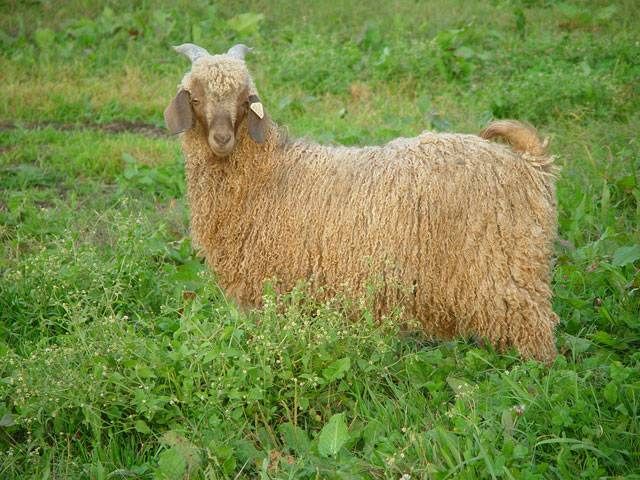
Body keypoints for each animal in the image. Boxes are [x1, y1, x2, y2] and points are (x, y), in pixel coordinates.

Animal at [165, 43, 560, 362]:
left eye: (244, 99)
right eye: (195, 97)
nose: (222, 139)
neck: (268, 171)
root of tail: (528, 164)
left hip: (502, 265)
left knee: (532, 323)